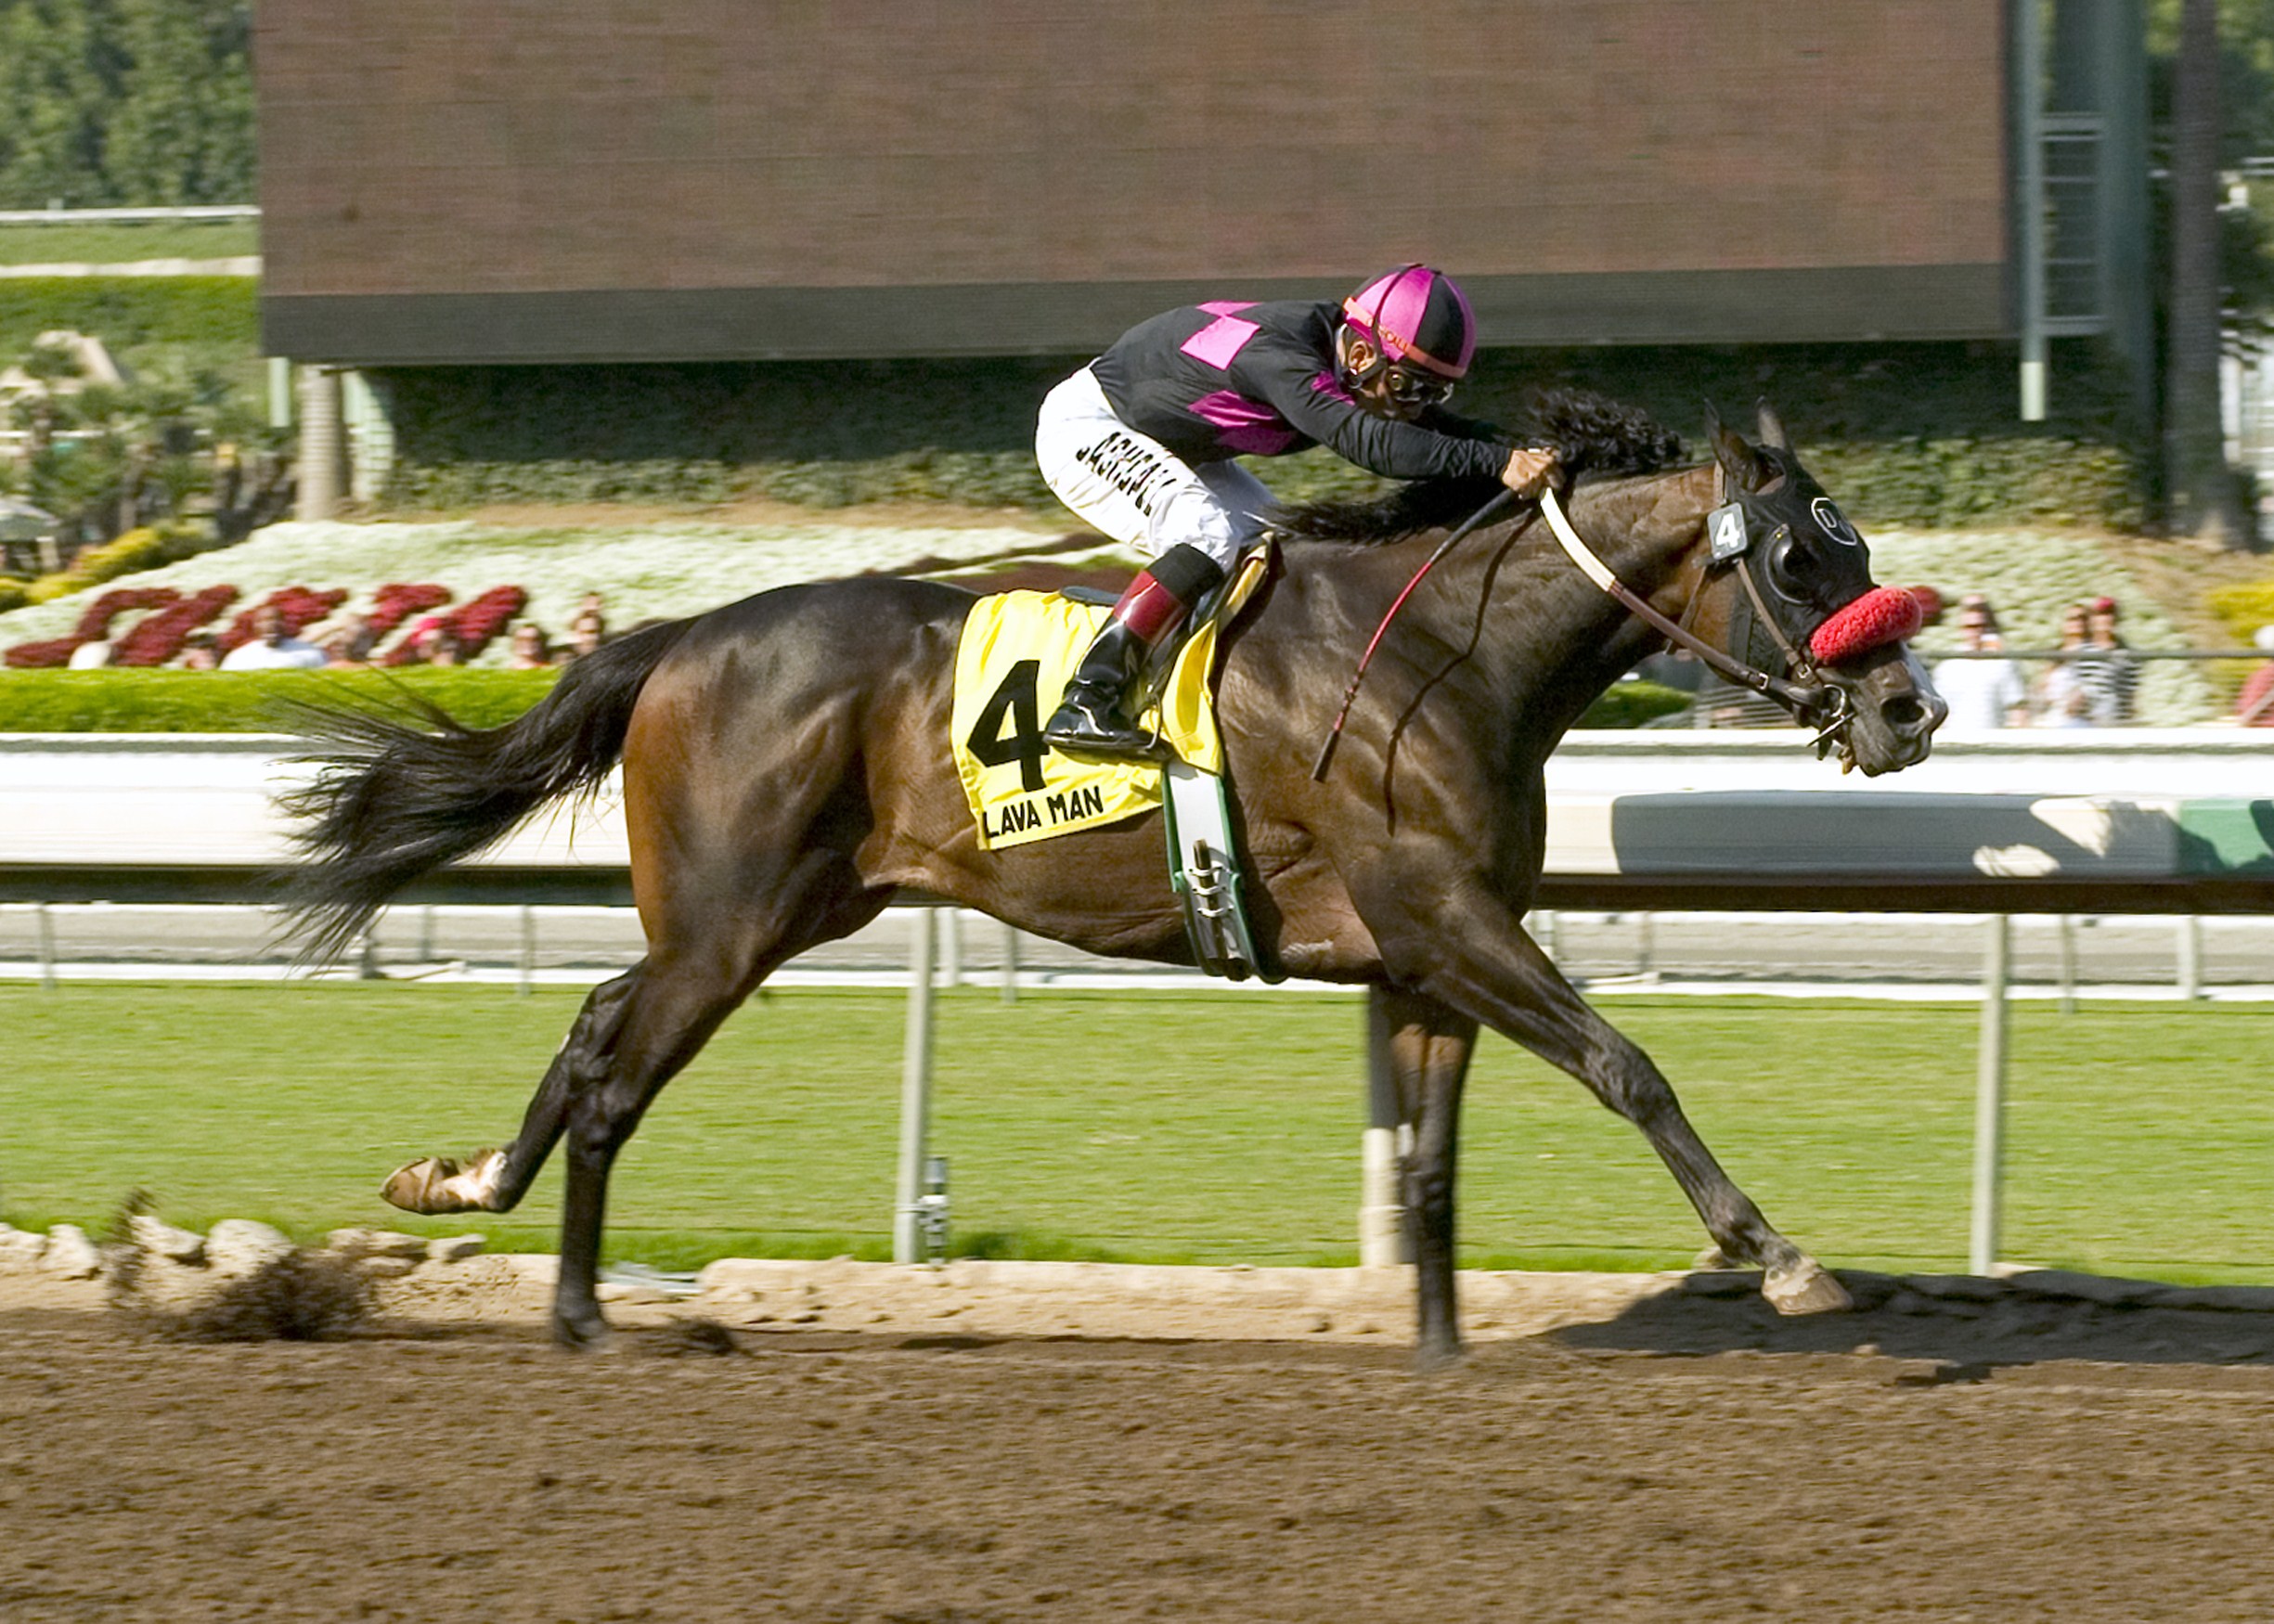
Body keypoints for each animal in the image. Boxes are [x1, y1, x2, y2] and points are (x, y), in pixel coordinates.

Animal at [284, 397, 1946, 1355]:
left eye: (1852, 547)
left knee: (589, 1029)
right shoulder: (1445, 913)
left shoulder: (1425, 951)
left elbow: (1428, 1165)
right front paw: (1782, 1259)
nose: (1908, 710)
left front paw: (1439, 1352)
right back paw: (582, 1316)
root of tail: (680, 639)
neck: (1442, 647)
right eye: (1800, 560)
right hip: (730, 924)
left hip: (771, 906)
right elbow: (1627, 1064)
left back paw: (463, 1183)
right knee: (619, 1073)